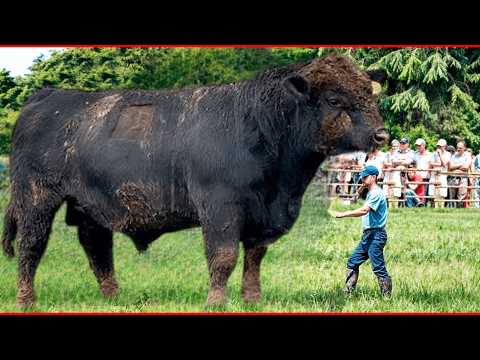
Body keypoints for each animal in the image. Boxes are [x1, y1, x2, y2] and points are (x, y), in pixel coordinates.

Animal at [1, 54, 388, 308]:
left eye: (369, 95)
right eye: (335, 99)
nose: (382, 135)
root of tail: (47, 96)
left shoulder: (263, 214)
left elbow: (255, 257)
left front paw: (252, 299)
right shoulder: (220, 208)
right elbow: (223, 257)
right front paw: (216, 302)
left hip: (90, 205)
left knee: (96, 246)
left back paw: (114, 297)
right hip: (36, 198)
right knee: (31, 246)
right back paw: (27, 300)